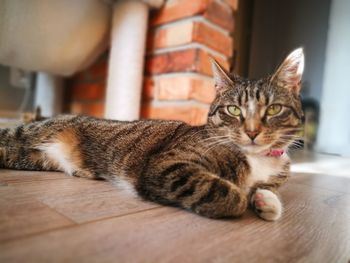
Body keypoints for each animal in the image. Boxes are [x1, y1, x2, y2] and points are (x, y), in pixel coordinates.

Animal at [0, 48, 304, 222]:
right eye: (233, 109)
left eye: (274, 109)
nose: (252, 132)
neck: (259, 159)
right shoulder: (168, 165)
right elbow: (225, 192)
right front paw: (242, 197)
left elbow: (265, 189)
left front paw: (266, 201)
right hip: (24, 137)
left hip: (30, 156)